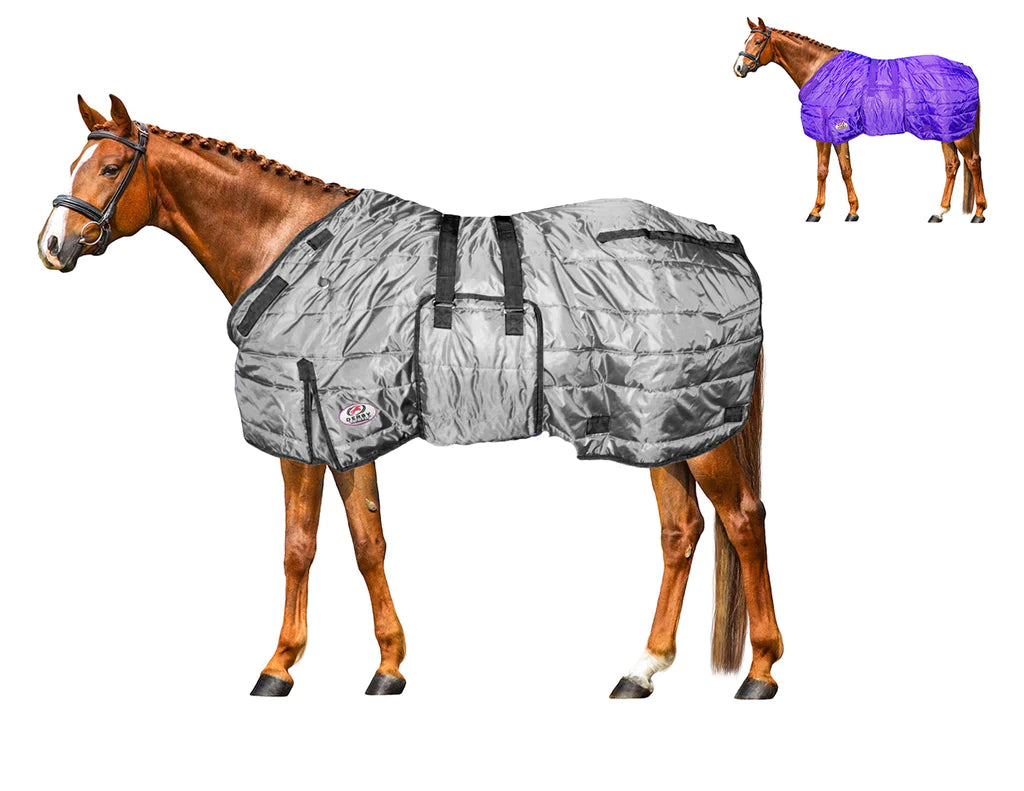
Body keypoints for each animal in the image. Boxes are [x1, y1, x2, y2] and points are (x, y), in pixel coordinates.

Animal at [37, 95, 783, 700]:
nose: (52, 246)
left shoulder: (325, 423)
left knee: (743, 521)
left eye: (109, 167)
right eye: (74, 161)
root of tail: (728, 247)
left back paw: (760, 671)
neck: (295, 254)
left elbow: (325, 545)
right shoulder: (331, 428)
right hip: (655, 426)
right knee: (681, 531)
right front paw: (359, 664)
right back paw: (641, 669)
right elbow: (341, 541)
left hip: (695, 430)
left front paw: (309, 666)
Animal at [735, 17, 986, 223]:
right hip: (946, 130)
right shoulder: (835, 132)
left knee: (973, 162)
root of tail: (966, 70)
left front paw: (821, 211)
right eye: (746, 40)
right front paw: (848, 210)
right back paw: (939, 212)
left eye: (758, 41)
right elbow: (838, 168)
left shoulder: (830, 130)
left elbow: (829, 170)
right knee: (952, 165)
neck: (820, 71)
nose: (738, 68)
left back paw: (979, 213)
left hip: (958, 131)